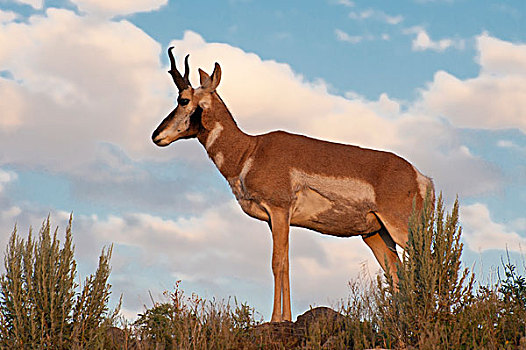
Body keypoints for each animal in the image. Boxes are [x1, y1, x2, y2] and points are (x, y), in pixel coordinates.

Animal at [153, 48, 438, 322]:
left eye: (183, 100)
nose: (156, 135)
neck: (249, 151)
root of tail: (420, 176)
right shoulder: (275, 219)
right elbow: (285, 262)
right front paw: (284, 316)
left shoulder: (280, 210)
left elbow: (278, 262)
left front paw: (279, 318)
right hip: (376, 234)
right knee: (397, 274)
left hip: (403, 229)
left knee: (428, 262)